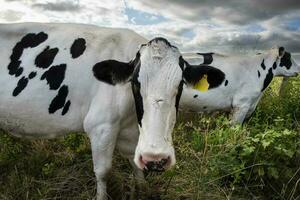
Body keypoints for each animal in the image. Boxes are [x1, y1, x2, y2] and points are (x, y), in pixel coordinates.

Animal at [0, 22, 225, 199]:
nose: (156, 159)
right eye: (135, 83)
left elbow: (136, 166)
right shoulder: (101, 127)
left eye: (180, 86)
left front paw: (143, 189)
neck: (132, 121)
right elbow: (103, 172)